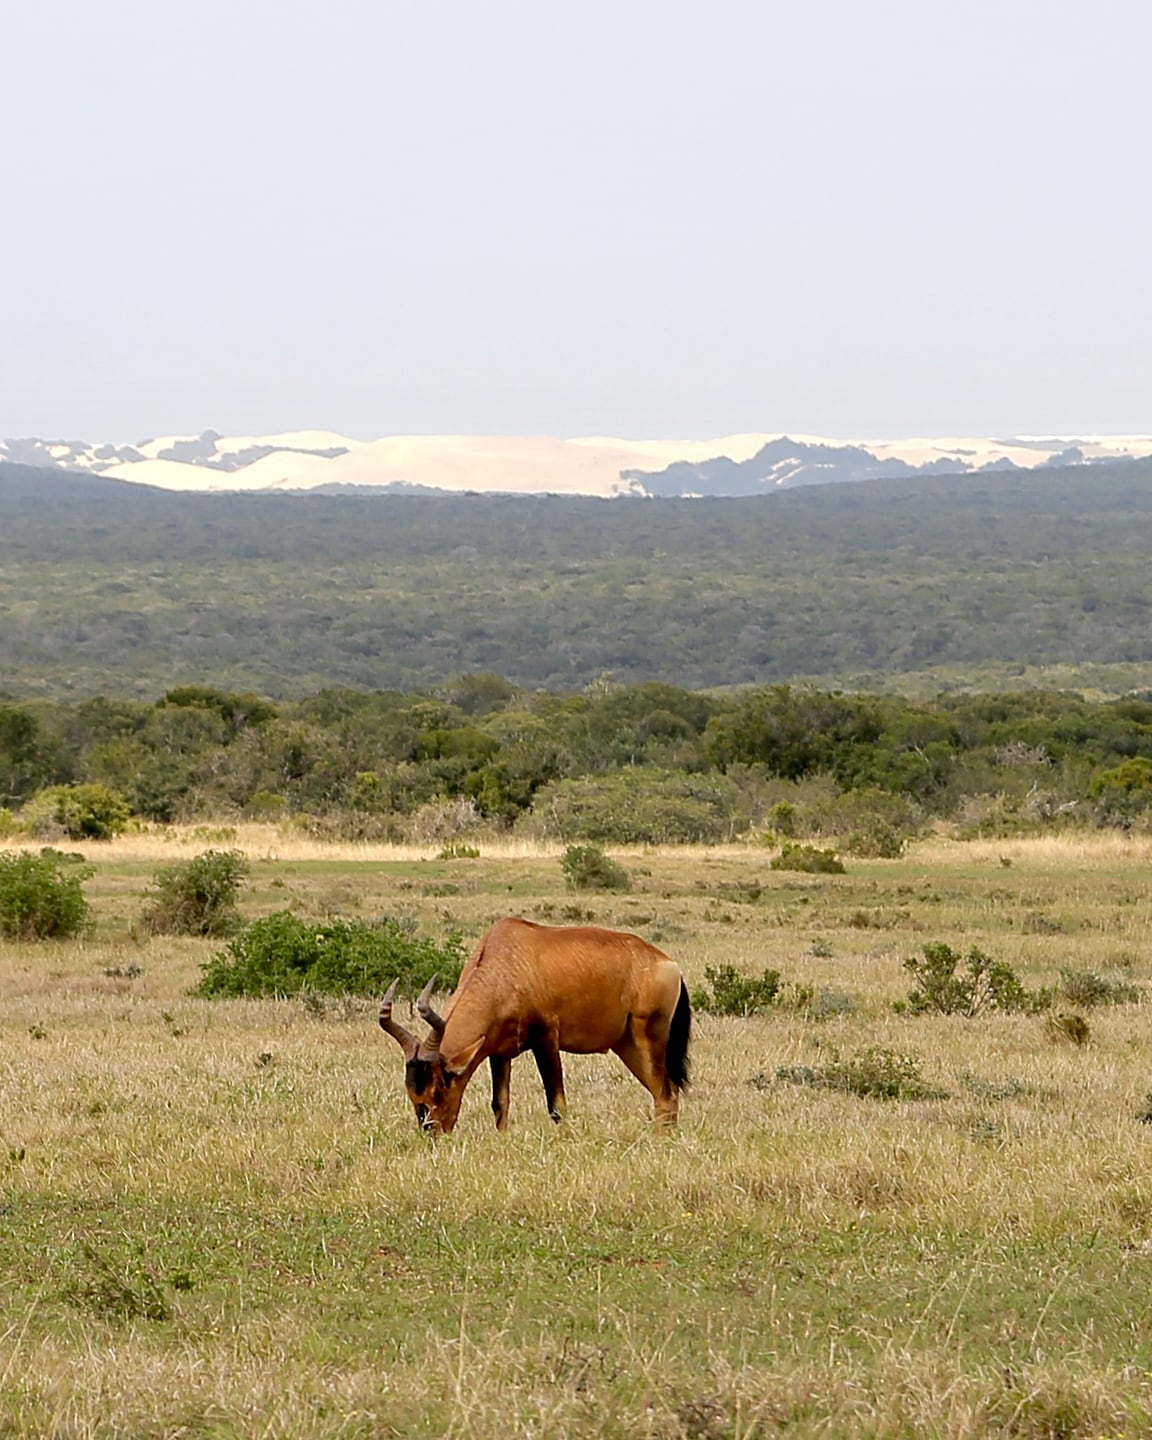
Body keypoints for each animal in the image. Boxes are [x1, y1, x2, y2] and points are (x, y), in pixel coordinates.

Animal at [377, 915, 688, 1128]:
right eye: (412, 1093)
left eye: (440, 1087)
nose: (433, 1133)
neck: (506, 958)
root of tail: (668, 964)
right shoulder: (498, 1052)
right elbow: (500, 1103)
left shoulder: (546, 1039)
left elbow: (557, 1103)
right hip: (627, 1046)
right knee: (665, 1093)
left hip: (649, 1038)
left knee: (665, 1094)